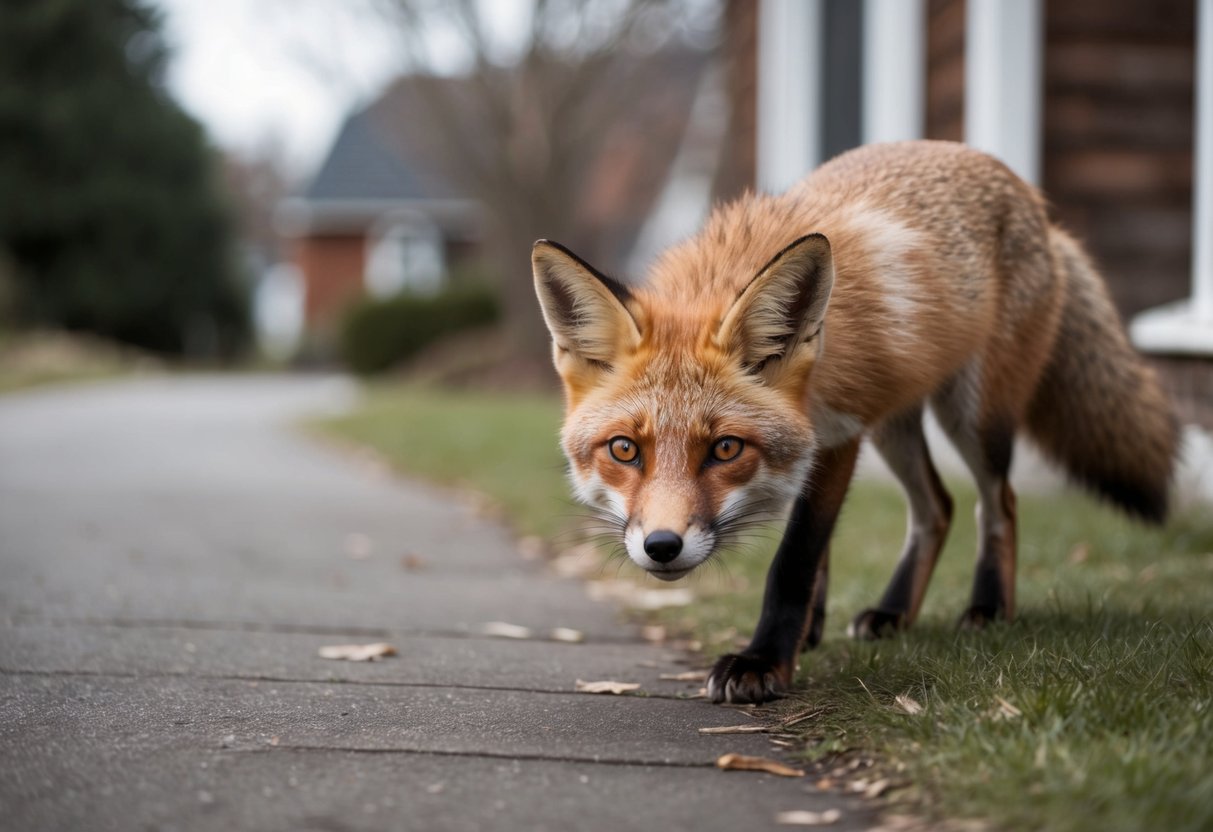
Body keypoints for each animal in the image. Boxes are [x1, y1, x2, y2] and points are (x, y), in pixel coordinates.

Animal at [532, 140, 1178, 705]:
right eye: (623, 450)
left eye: (725, 449)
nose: (662, 547)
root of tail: (1037, 205)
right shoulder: (827, 437)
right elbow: (815, 552)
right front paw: (804, 634)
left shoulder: (839, 435)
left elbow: (794, 558)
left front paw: (764, 661)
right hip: (894, 422)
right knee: (937, 506)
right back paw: (893, 612)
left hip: (972, 414)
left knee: (998, 502)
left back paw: (989, 609)